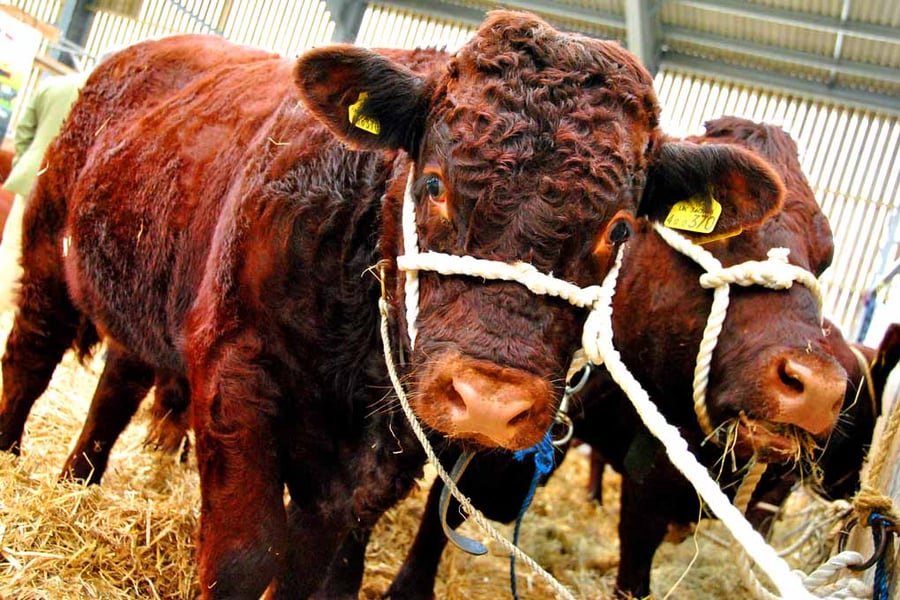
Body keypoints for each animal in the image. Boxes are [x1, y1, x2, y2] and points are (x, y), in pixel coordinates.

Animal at [0, 14, 795, 598]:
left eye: (621, 228)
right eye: (434, 182)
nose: (488, 399)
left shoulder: (378, 459)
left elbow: (311, 570)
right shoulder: (235, 370)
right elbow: (247, 557)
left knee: (119, 380)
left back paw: (79, 481)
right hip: (46, 244)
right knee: (31, 357)